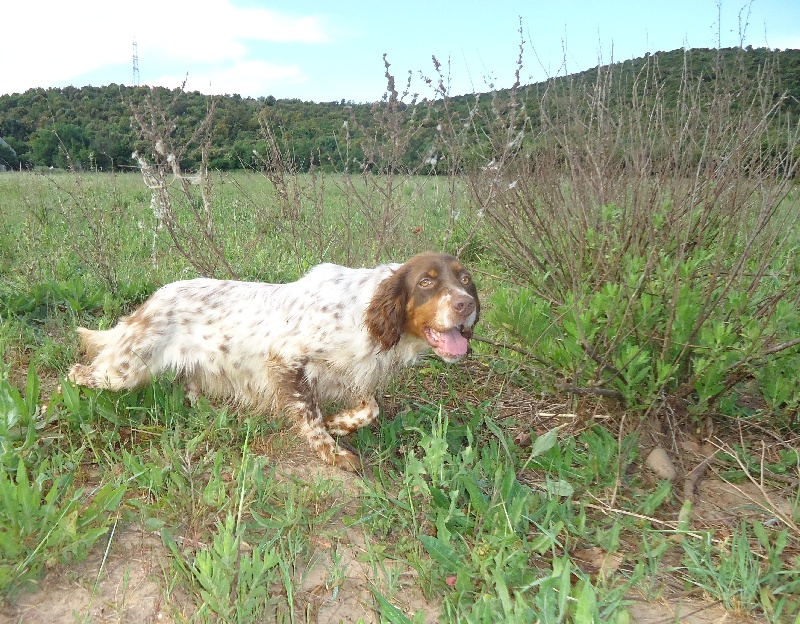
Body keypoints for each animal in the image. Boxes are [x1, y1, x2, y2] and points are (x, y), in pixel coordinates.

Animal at [67, 251, 476, 470]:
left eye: (466, 280)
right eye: (426, 282)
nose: (466, 305)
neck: (364, 314)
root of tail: (154, 298)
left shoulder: (355, 375)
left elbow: (369, 408)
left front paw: (340, 423)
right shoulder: (286, 360)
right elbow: (311, 417)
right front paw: (332, 451)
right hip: (123, 370)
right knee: (76, 373)